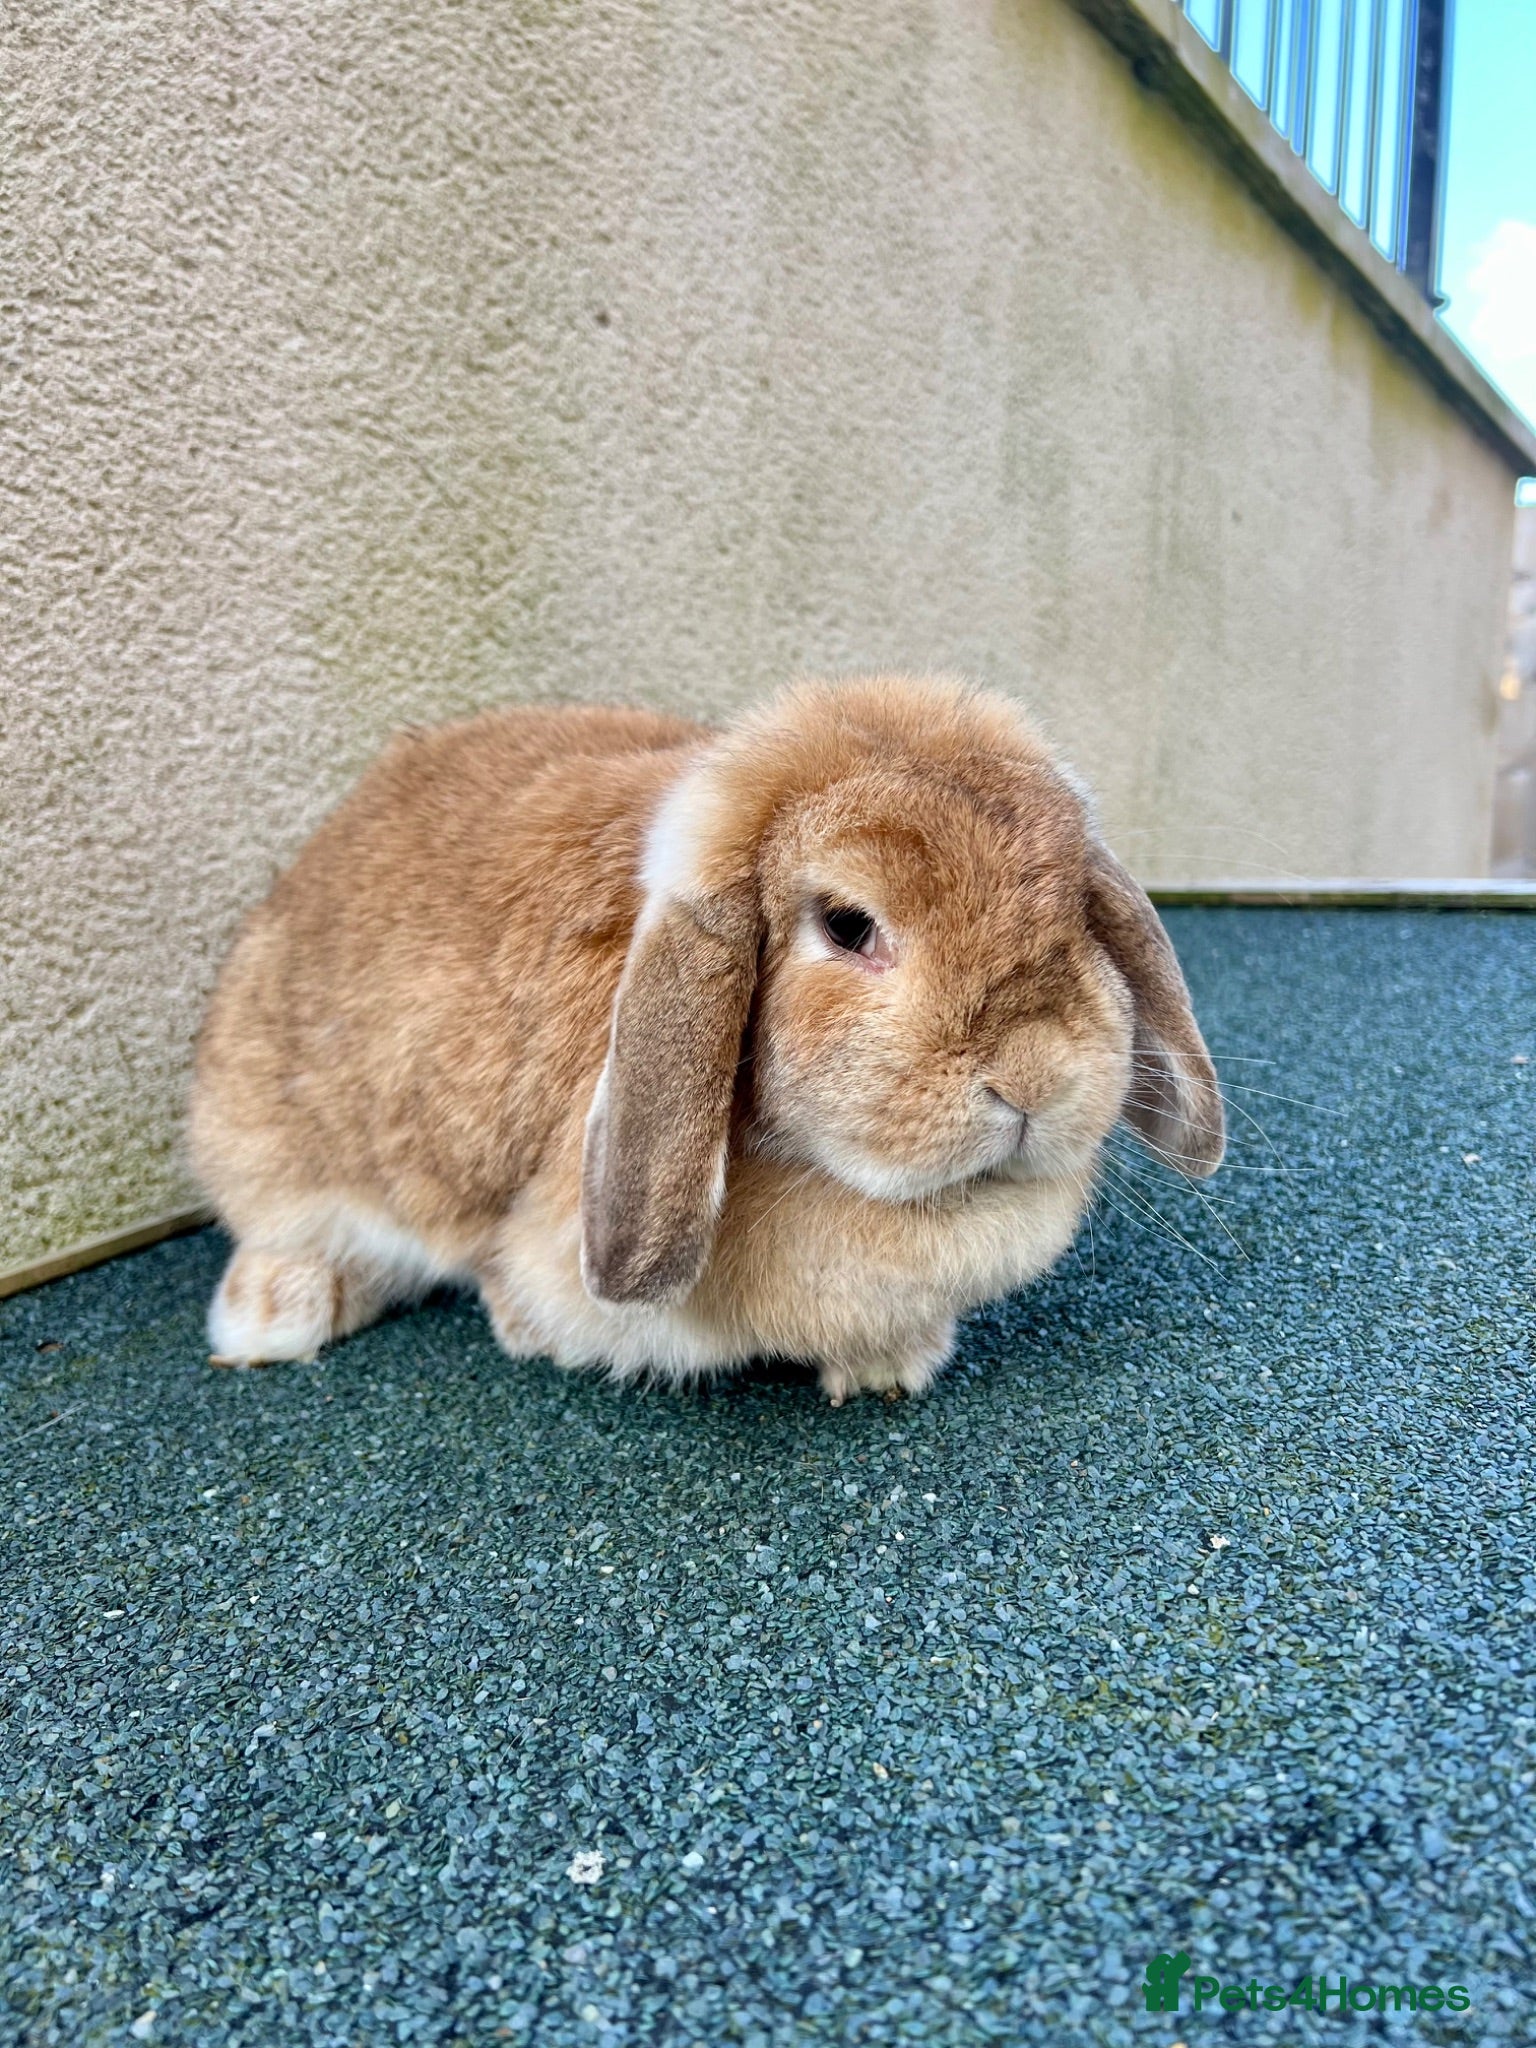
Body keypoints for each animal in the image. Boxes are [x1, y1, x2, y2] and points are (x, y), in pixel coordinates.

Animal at [188, 675, 1223, 1401]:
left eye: (1074, 909)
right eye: (849, 925)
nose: (1034, 1077)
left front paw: (889, 1368)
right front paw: (521, 1325)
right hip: (265, 1136)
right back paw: (270, 1318)